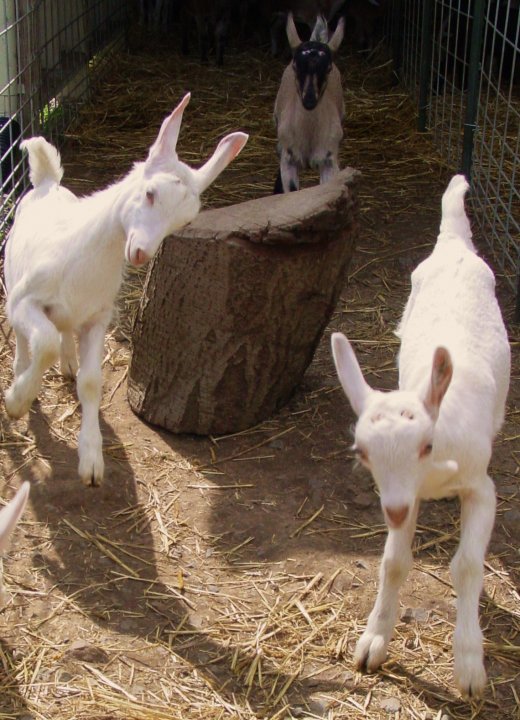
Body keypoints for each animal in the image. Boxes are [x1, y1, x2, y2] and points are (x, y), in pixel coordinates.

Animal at [4, 93, 248, 487]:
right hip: (13, 287)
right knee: (30, 342)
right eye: (149, 194)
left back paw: (67, 363)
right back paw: (22, 375)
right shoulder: (27, 300)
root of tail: (47, 182)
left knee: (64, 334)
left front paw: (91, 461)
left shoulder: (98, 316)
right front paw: (16, 401)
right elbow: (44, 344)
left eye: (184, 221)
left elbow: (91, 382)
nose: (141, 252)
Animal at [331, 175, 510, 699]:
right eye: (362, 453)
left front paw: (469, 665)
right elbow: (394, 562)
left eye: (426, 446)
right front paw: (373, 641)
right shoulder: (403, 494)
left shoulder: (481, 487)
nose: (391, 510)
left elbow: (467, 565)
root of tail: (452, 241)